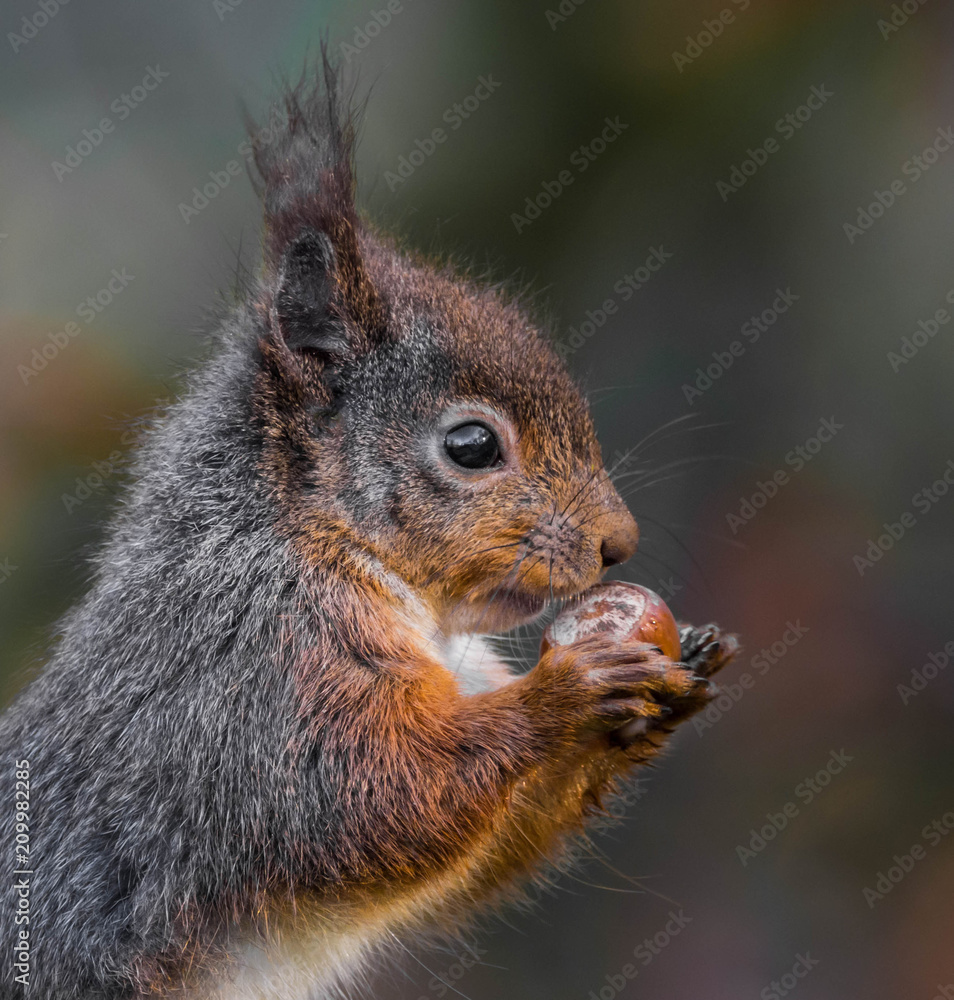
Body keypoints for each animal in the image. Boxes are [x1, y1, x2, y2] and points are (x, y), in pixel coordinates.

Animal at [0, 55, 738, 1000]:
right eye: (472, 446)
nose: (621, 544)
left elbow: (474, 851)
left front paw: (672, 678)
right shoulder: (250, 674)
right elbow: (365, 801)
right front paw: (568, 692)